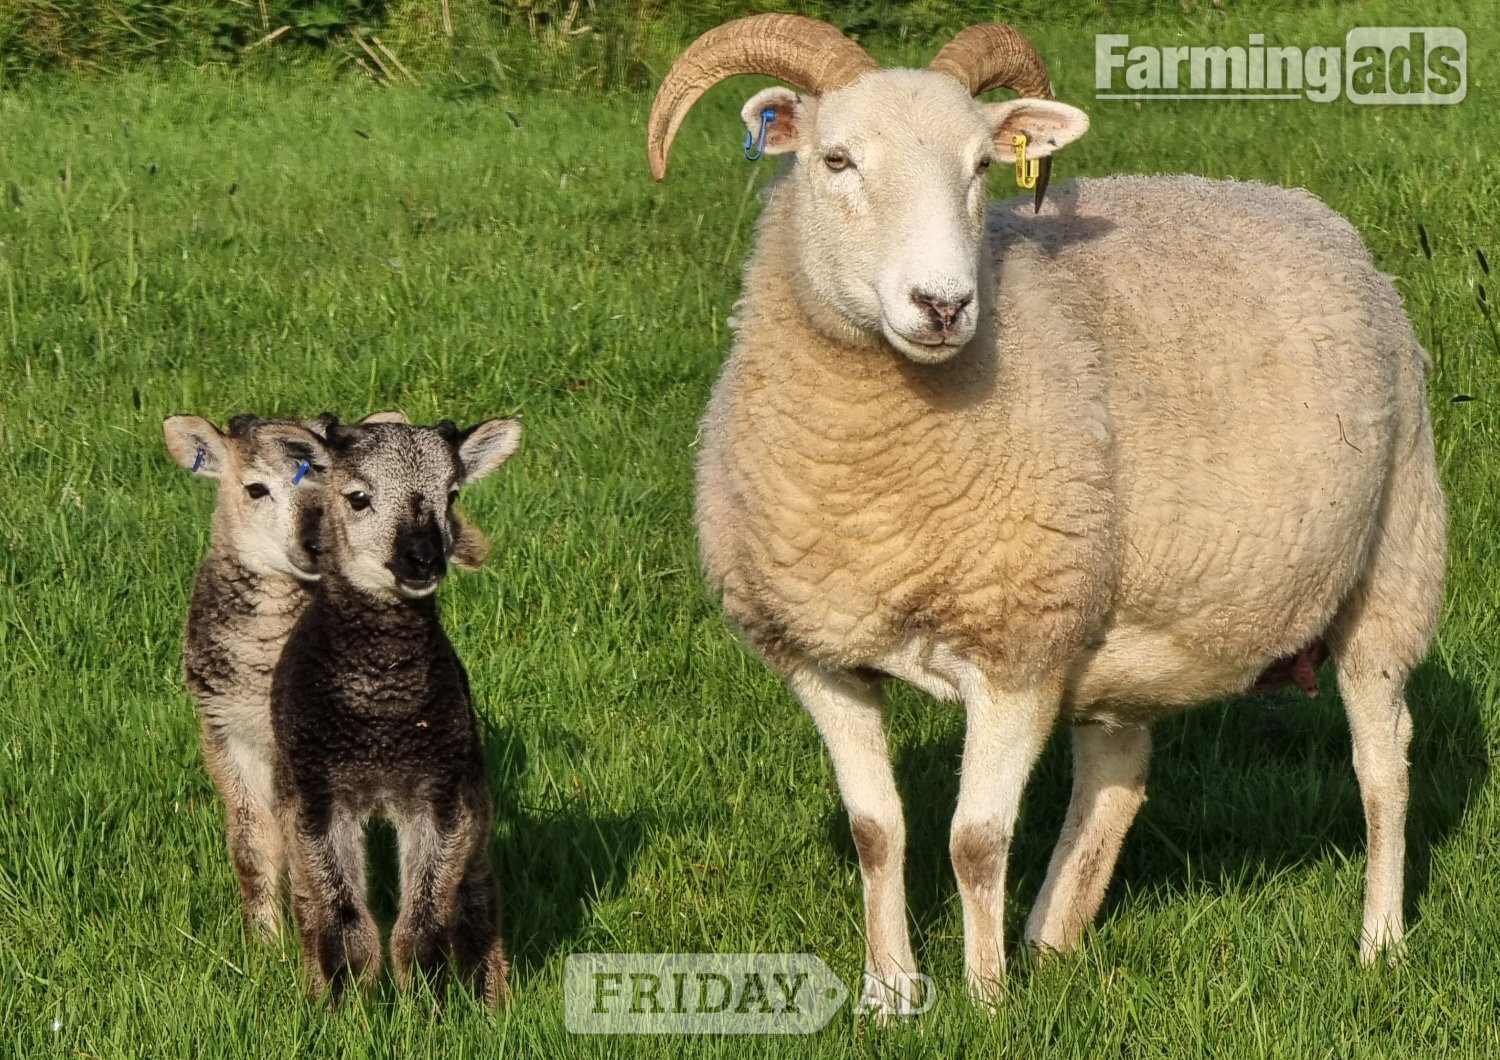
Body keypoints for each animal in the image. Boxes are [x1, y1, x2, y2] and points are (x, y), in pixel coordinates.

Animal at [270, 417, 520, 1007]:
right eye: (357, 497)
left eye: (452, 495)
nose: (424, 558)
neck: (382, 718)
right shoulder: (317, 794)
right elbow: (340, 917)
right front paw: (341, 1004)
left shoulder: (440, 793)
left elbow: (424, 919)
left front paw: (428, 1002)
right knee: (308, 904)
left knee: (477, 890)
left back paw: (491, 996)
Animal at [647, 15, 1447, 1012]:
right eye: (836, 160)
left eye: (981, 168)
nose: (943, 305)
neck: (872, 485)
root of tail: (1310, 210)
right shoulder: (820, 658)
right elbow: (877, 832)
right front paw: (890, 997)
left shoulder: (1017, 647)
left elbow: (974, 841)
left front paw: (985, 1001)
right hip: (1115, 622)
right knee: (1119, 770)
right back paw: (1053, 939)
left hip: (1393, 564)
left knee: (1384, 764)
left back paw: (1380, 942)